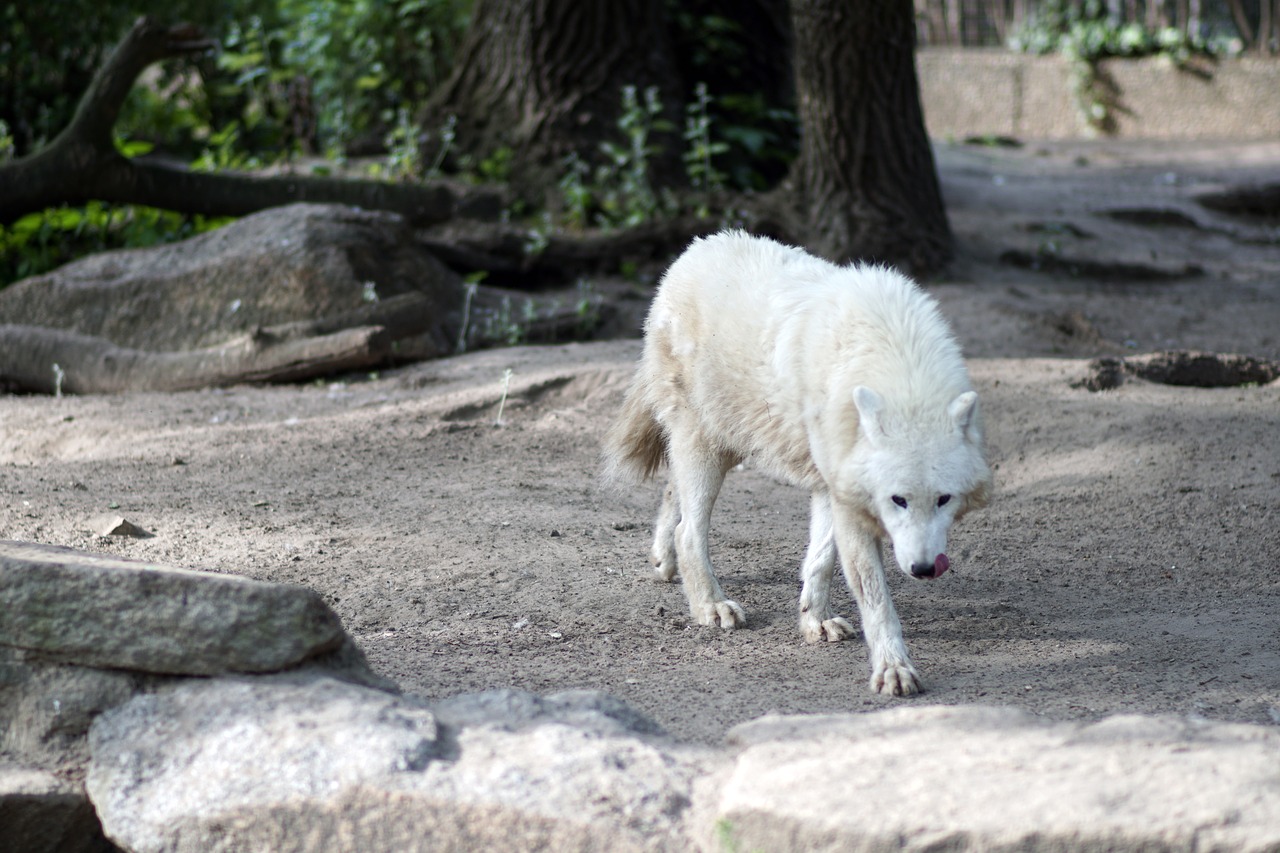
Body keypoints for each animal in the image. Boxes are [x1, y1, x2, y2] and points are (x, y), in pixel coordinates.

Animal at [604, 229, 993, 696]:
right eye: (898, 500)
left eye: (944, 500)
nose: (923, 569)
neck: (900, 367)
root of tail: (696, 247)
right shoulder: (851, 506)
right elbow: (876, 599)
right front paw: (893, 669)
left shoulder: (833, 486)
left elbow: (820, 560)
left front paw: (815, 621)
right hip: (706, 448)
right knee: (689, 531)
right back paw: (710, 606)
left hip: (725, 444)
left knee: (670, 492)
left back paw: (665, 562)